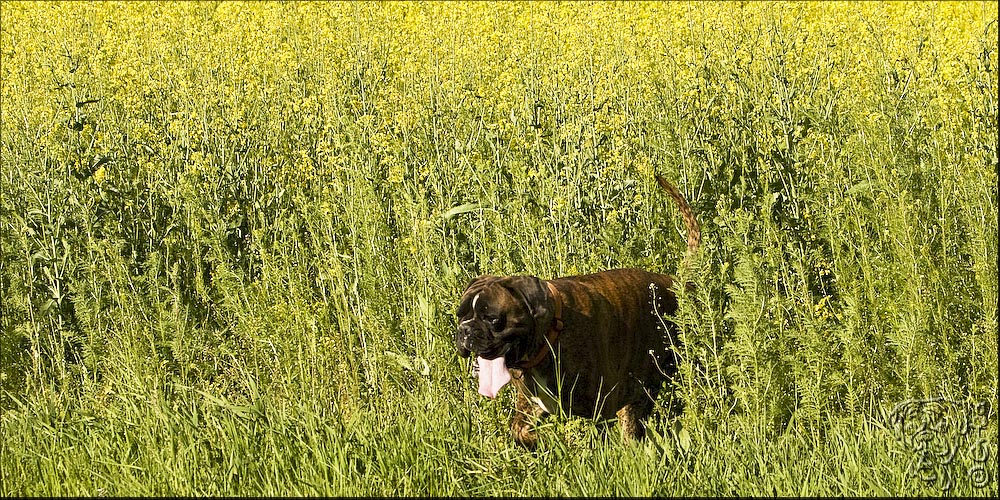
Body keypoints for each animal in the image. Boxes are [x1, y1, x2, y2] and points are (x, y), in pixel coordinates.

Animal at [456, 176, 700, 450]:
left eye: (493, 319)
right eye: (460, 315)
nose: (465, 331)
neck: (551, 333)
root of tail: (677, 283)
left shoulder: (600, 405)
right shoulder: (532, 404)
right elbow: (519, 429)